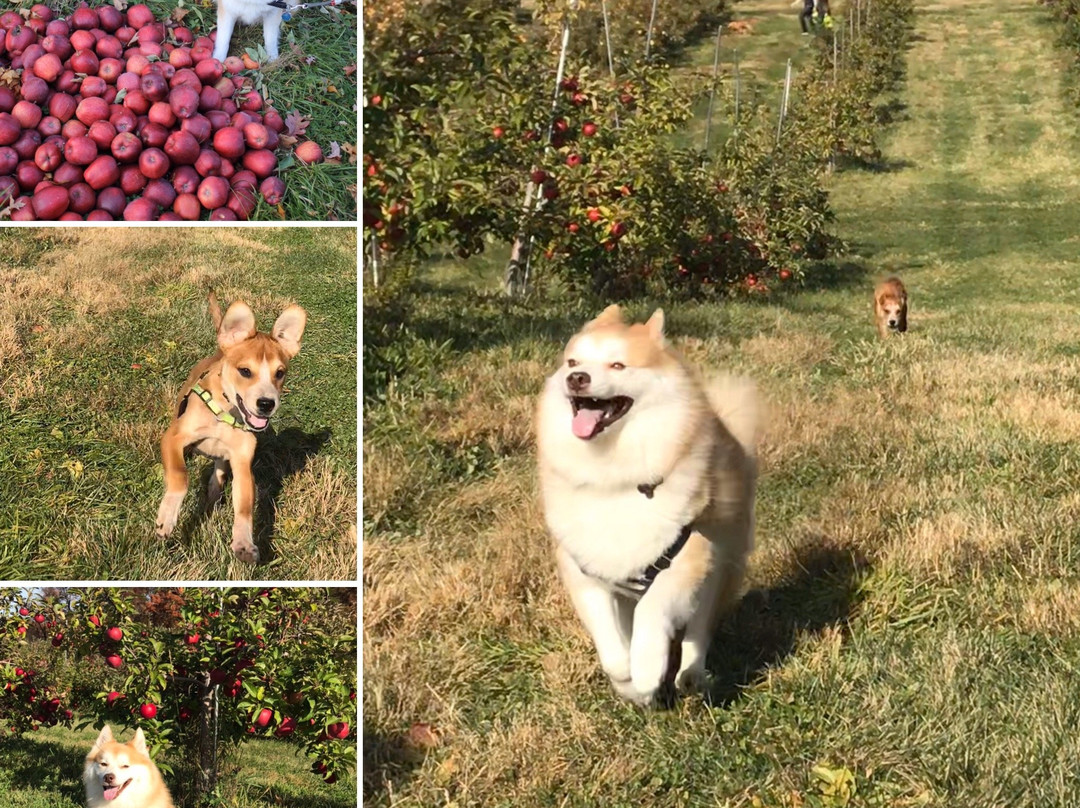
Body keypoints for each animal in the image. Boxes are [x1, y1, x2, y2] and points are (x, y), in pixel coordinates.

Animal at [152, 293, 306, 566]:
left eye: (280, 373)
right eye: (245, 371)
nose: (266, 404)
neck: (226, 414)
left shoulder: (243, 463)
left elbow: (244, 507)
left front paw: (244, 543)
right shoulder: (173, 438)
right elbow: (180, 477)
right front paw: (167, 519)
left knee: (219, 474)